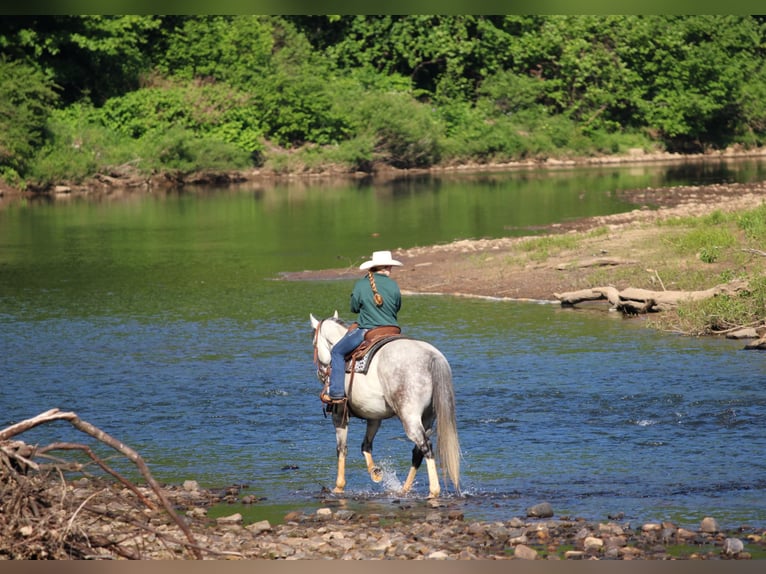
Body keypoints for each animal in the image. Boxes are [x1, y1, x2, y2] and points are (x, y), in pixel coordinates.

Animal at [310, 312, 460, 498]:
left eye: (314, 343)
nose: (320, 373)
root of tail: (432, 357)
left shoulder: (339, 414)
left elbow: (341, 448)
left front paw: (339, 486)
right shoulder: (374, 416)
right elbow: (366, 445)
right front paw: (375, 472)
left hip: (410, 418)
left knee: (426, 447)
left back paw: (434, 491)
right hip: (428, 418)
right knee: (417, 452)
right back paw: (404, 489)